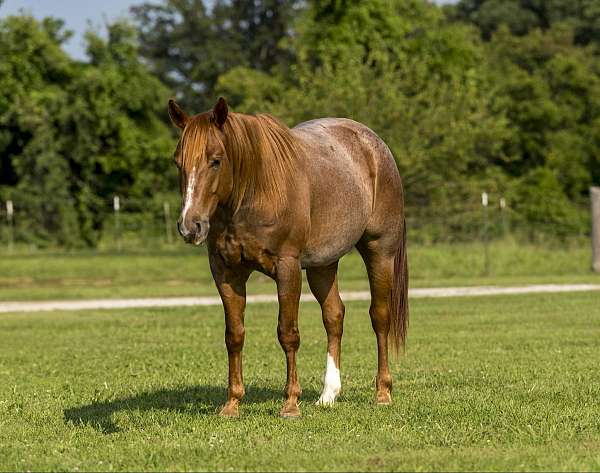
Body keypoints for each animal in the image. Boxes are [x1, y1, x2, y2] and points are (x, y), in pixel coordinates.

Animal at [168, 97, 408, 416]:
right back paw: (328, 394)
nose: (190, 226)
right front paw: (232, 403)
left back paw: (382, 392)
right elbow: (234, 335)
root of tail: (376, 146)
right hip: (323, 264)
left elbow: (288, 333)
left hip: (379, 251)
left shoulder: (287, 268)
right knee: (334, 316)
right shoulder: (226, 272)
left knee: (379, 317)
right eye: (178, 162)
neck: (255, 190)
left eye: (215, 160)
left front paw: (291, 403)